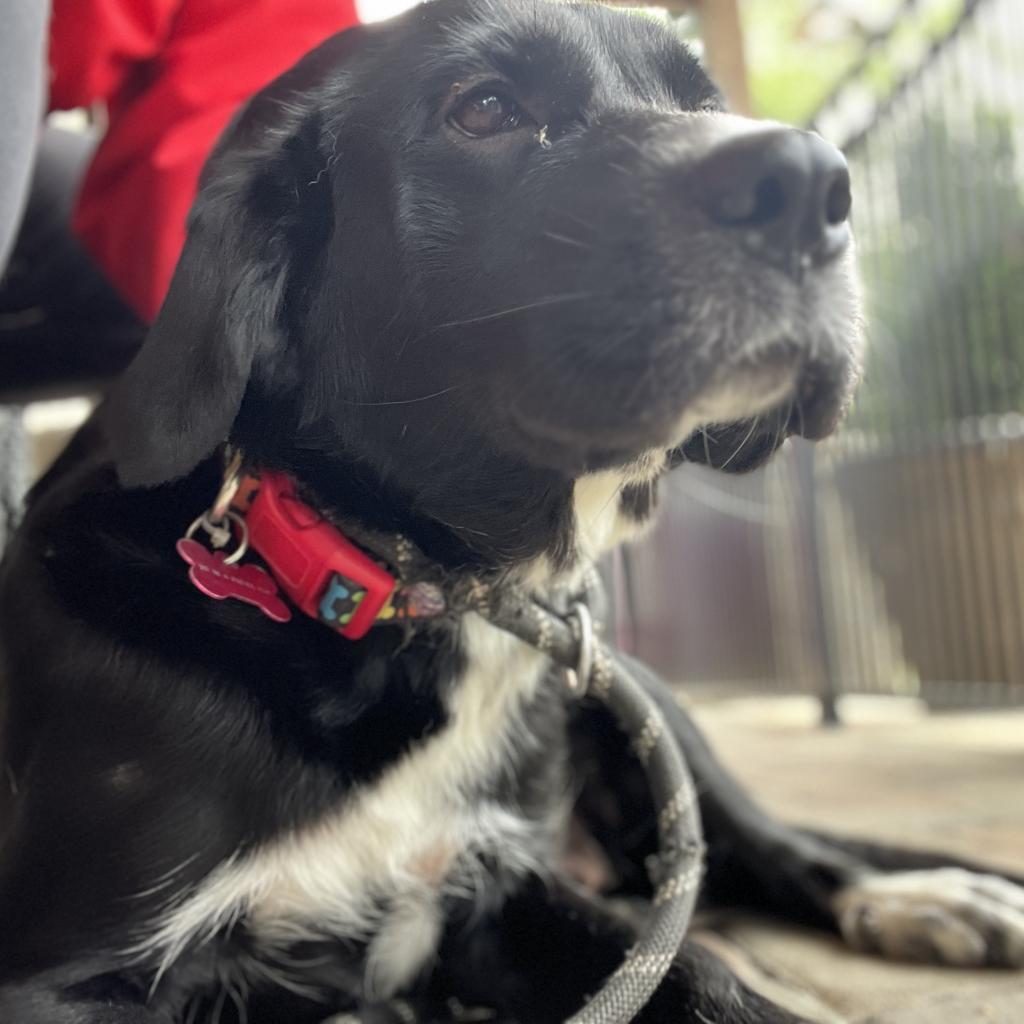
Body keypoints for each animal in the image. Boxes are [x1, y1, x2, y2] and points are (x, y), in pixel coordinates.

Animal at [2, 2, 1024, 1024]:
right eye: (485, 109)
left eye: (704, 102)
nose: (814, 180)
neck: (421, 593)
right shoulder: (65, 979)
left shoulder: (499, 888)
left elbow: (704, 974)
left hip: (644, 701)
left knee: (767, 849)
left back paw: (919, 895)